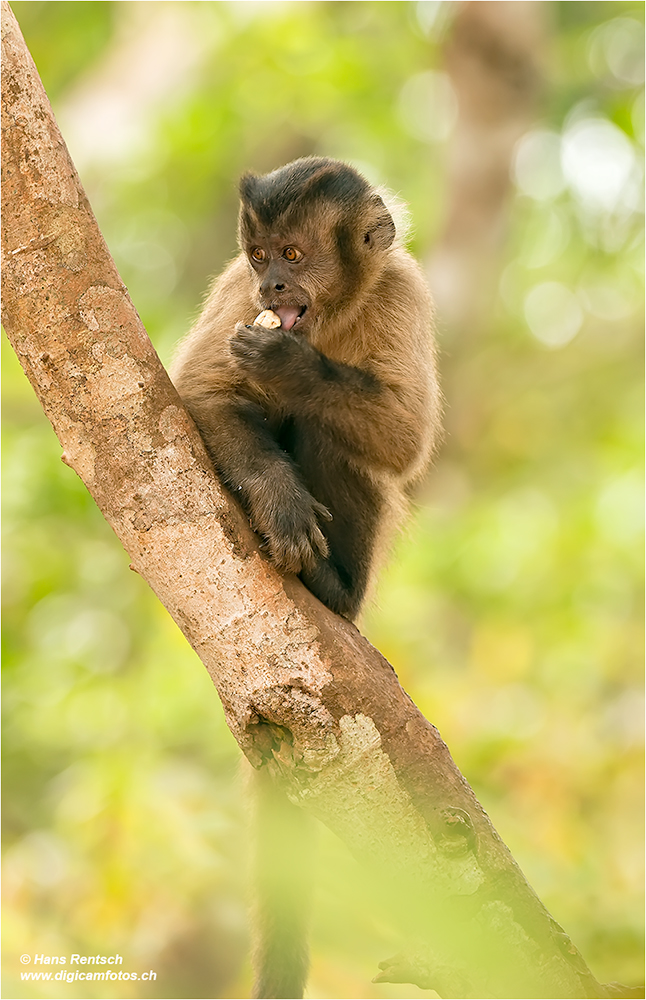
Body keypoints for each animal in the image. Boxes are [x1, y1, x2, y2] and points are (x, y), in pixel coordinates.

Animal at [170, 160, 442, 996]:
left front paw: (295, 369)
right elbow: (203, 393)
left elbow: (406, 440)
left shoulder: (404, 291)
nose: (274, 289)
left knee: (329, 429)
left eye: (294, 254)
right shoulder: (235, 297)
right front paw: (279, 498)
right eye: (260, 258)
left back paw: (333, 587)